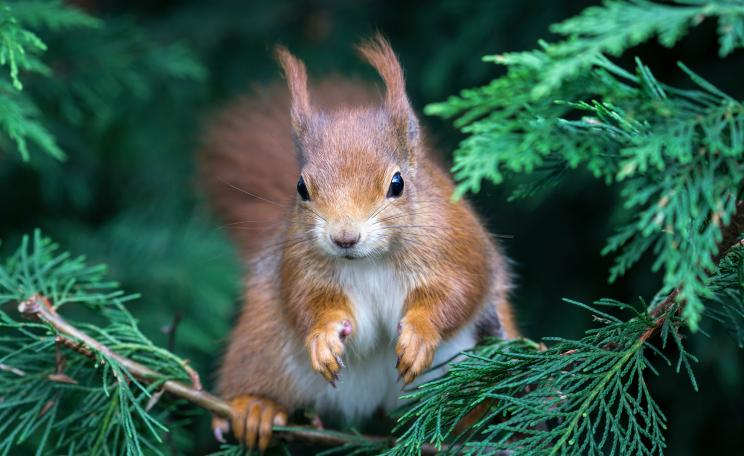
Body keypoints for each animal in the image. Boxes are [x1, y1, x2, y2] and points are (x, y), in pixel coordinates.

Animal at [199, 35, 518, 451]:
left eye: (397, 183)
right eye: (301, 188)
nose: (344, 237)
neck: (371, 259)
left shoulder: (455, 245)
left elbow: (458, 291)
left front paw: (420, 333)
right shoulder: (298, 264)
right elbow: (306, 301)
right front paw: (323, 336)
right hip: (264, 344)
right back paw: (257, 406)